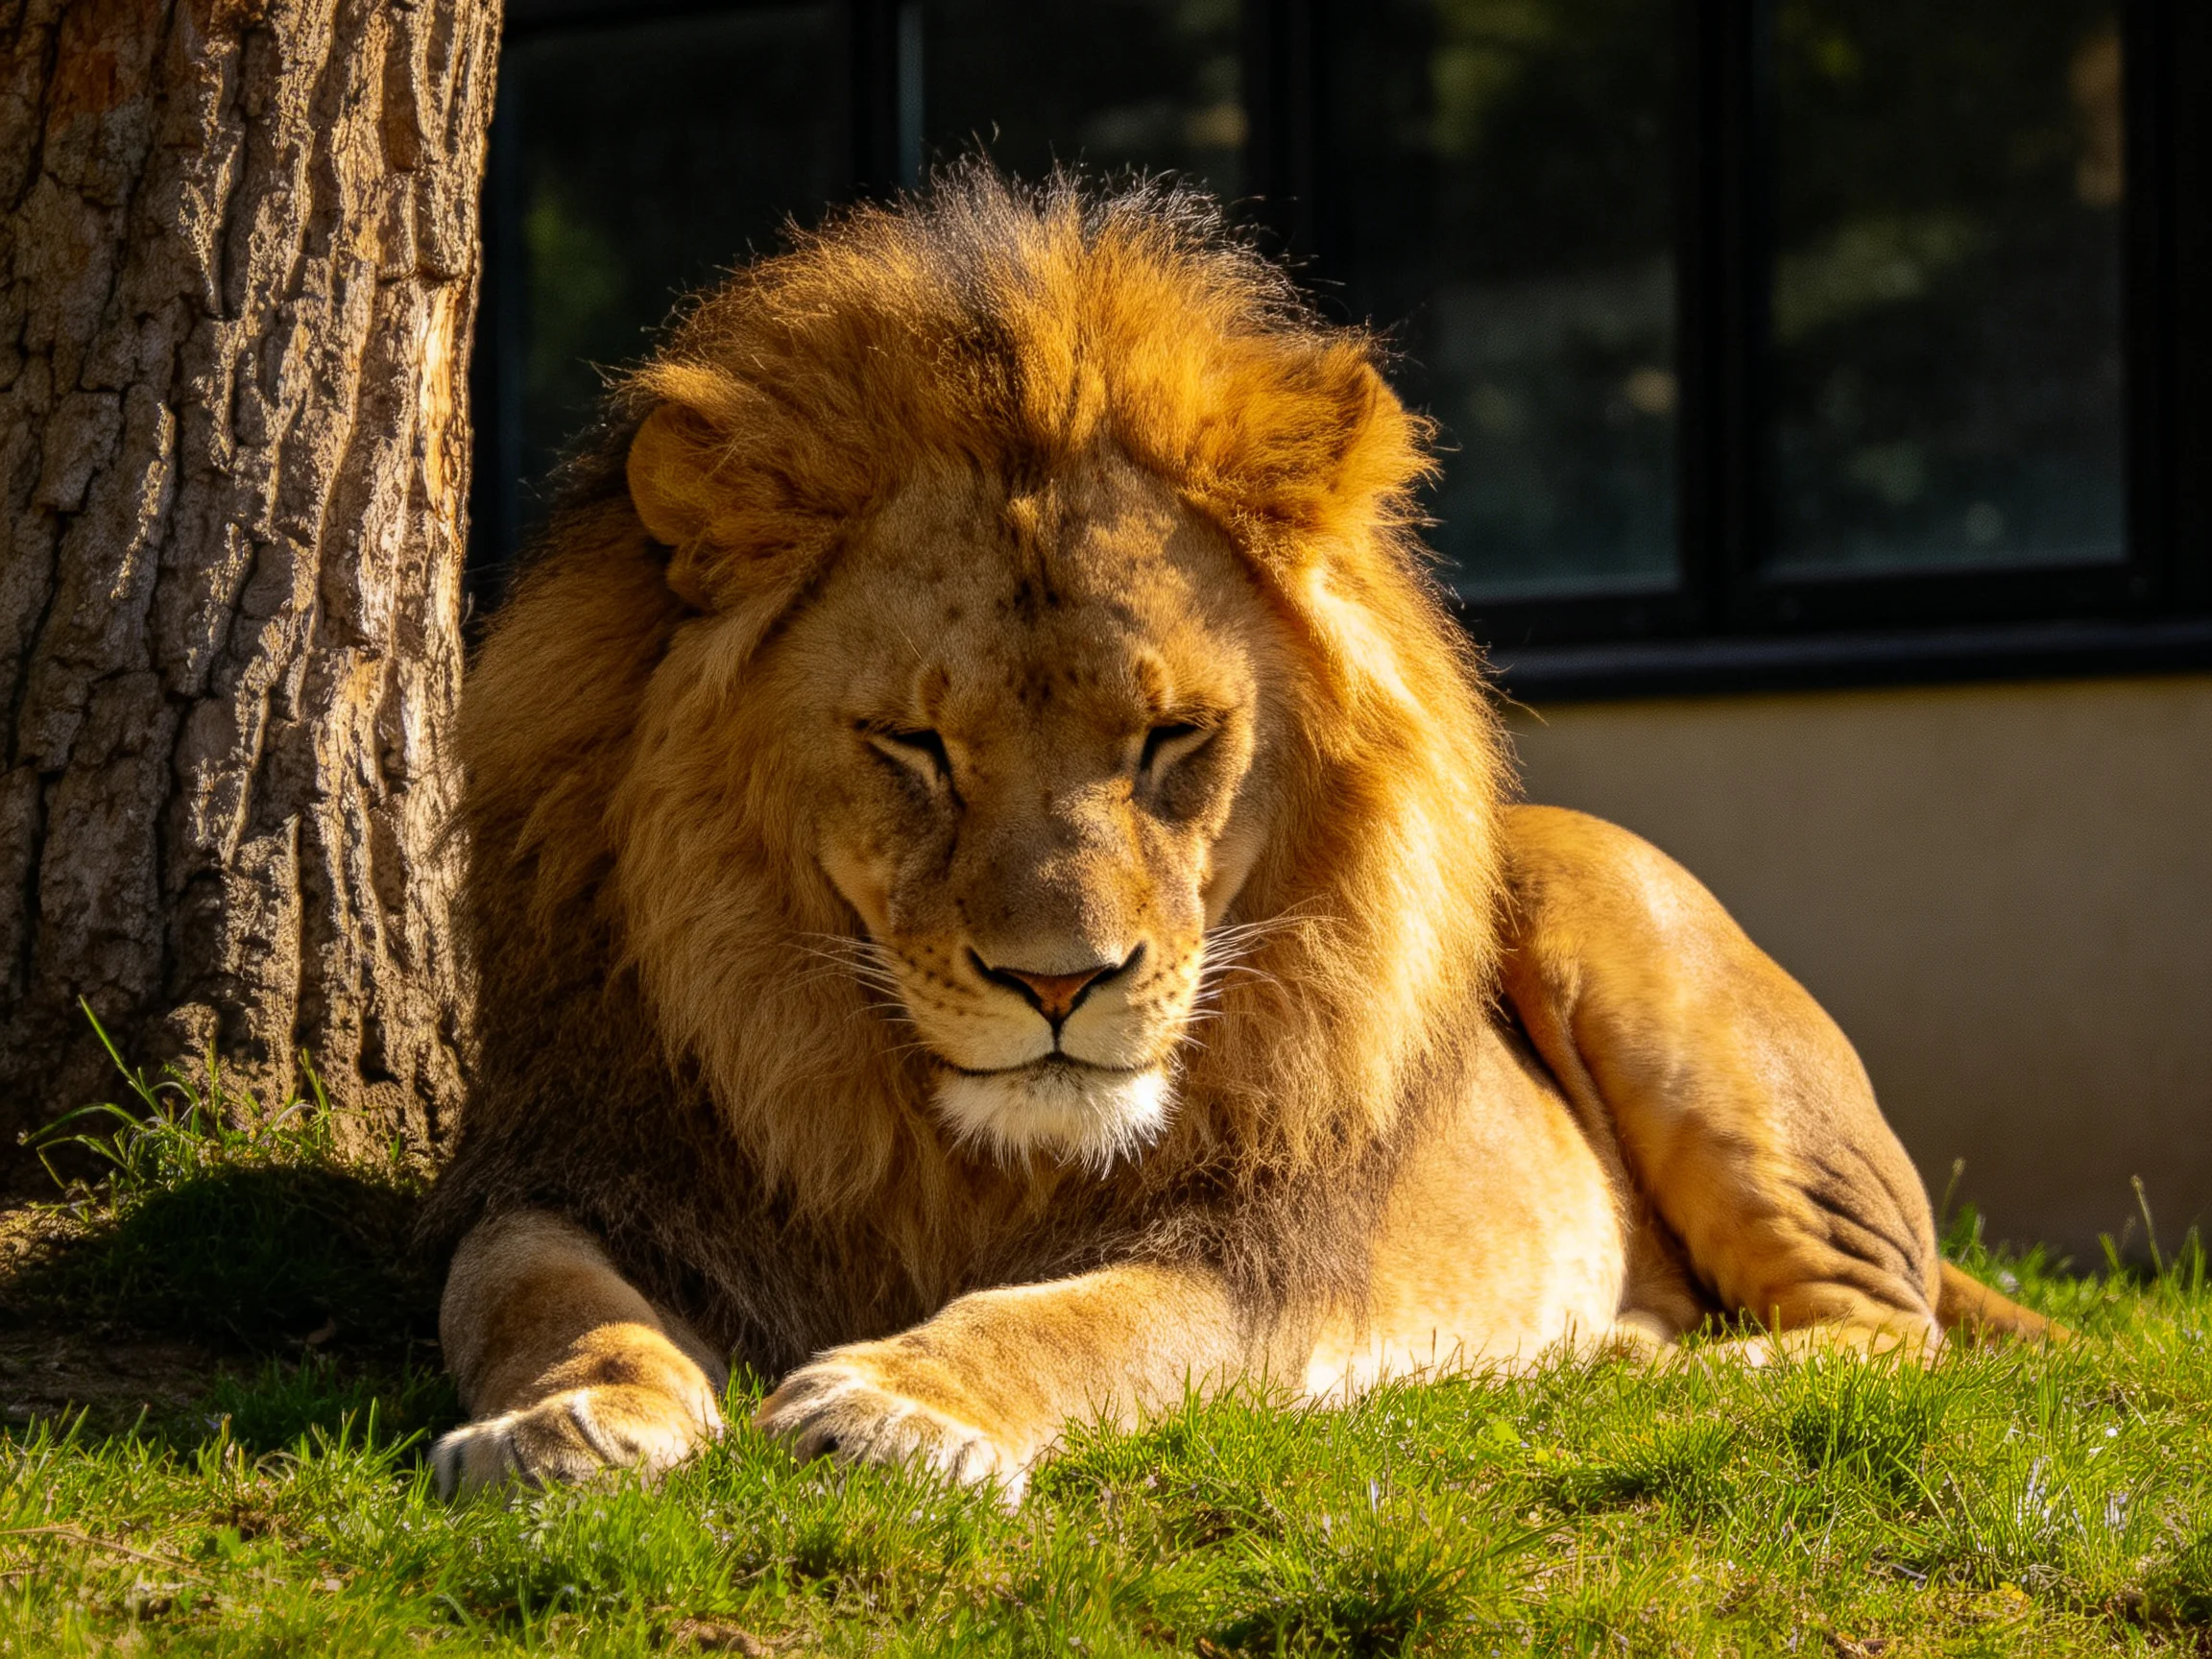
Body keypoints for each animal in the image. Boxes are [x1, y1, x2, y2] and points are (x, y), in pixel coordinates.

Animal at [423, 169, 2052, 1498]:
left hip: (1631, 932)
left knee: (1889, 1323)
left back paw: (1644, 1378)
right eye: (917, 747)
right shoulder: (577, 1157)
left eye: (1171, 740)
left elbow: (1093, 1320)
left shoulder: (1263, 1247)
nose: (1060, 984)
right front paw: (562, 1420)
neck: (953, 1146)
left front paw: (899, 1403)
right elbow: (530, 1289)